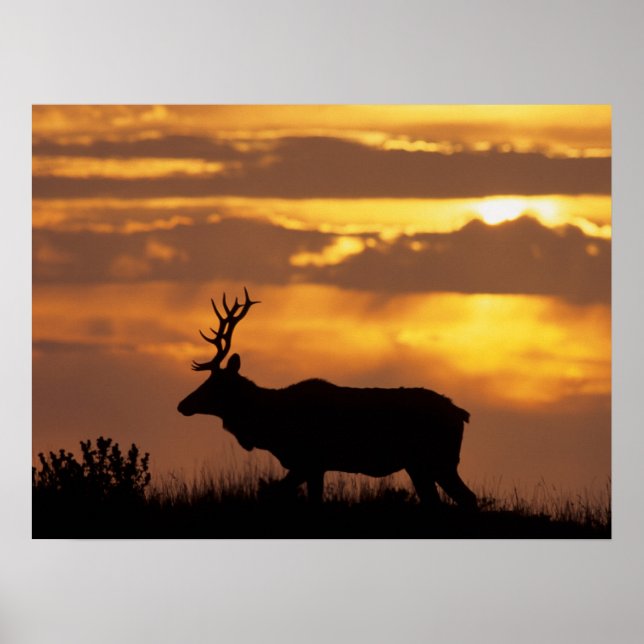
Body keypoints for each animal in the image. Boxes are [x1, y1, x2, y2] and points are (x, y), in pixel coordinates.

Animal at [177, 288, 477, 509]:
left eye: (215, 383)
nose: (182, 404)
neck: (271, 426)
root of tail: (461, 413)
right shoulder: (315, 466)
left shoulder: (308, 460)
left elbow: (276, 494)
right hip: (419, 465)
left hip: (439, 460)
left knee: (468, 498)